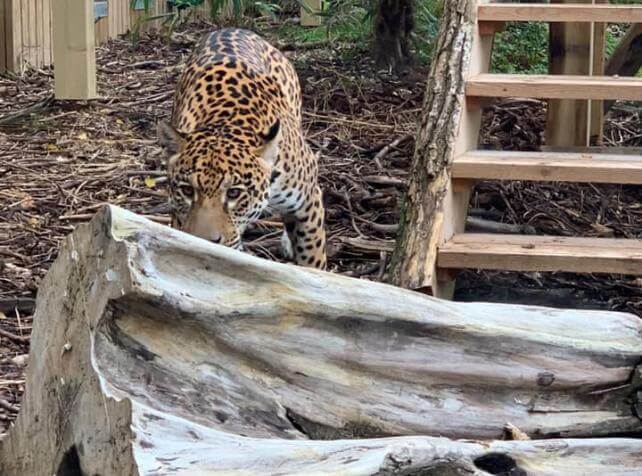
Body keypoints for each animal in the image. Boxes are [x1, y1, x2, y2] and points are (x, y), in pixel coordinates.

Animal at [157, 28, 326, 269]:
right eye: (187, 191)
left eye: (234, 193)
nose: (206, 242)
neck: (225, 120)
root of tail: (234, 28)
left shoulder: (309, 202)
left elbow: (312, 258)